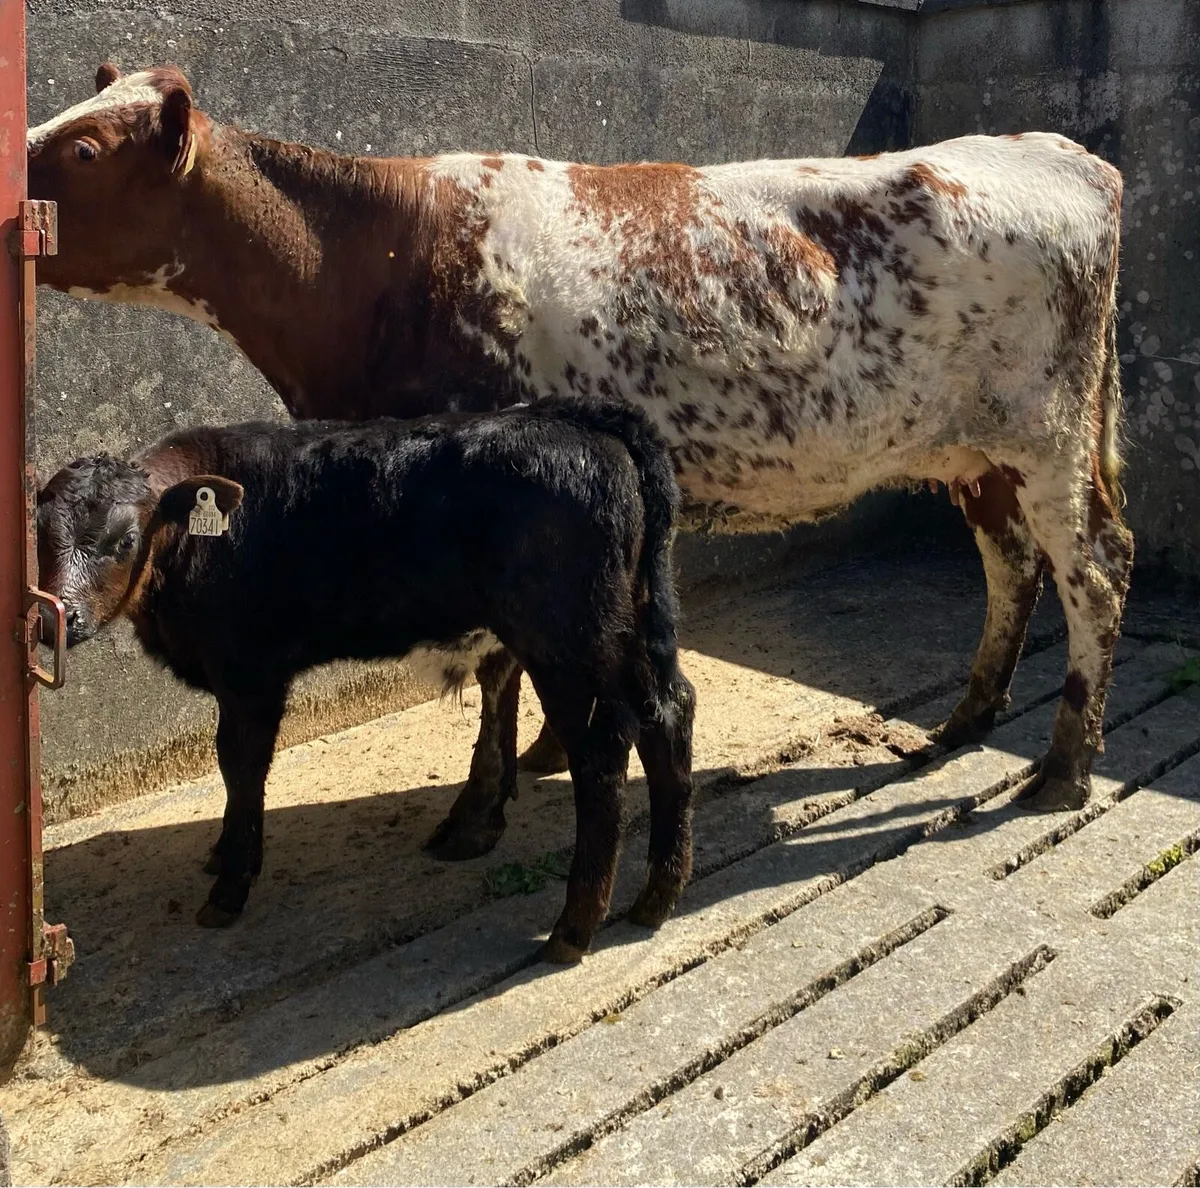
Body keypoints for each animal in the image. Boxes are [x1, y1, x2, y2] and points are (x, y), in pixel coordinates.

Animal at [27, 64, 1133, 831]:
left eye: (83, 150)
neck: (373, 257)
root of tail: (1065, 153)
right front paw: (555, 753)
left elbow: (498, 664)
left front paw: (500, 788)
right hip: (976, 454)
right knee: (1012, 566)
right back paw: (967, 721)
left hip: (1046, 436)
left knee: (1095, 573)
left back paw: (1064, 768)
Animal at [35, 398, 696, 960]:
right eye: (39, 536)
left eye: (124, 540)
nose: (56, 619)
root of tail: (585, 420)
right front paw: (223, 853)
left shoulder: (251, 674)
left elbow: (241, 766)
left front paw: (231, 884)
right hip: (625, 627)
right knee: (669, 711)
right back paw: (656, 897)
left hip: (567, 641)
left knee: (603, 751)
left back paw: (574, 928)